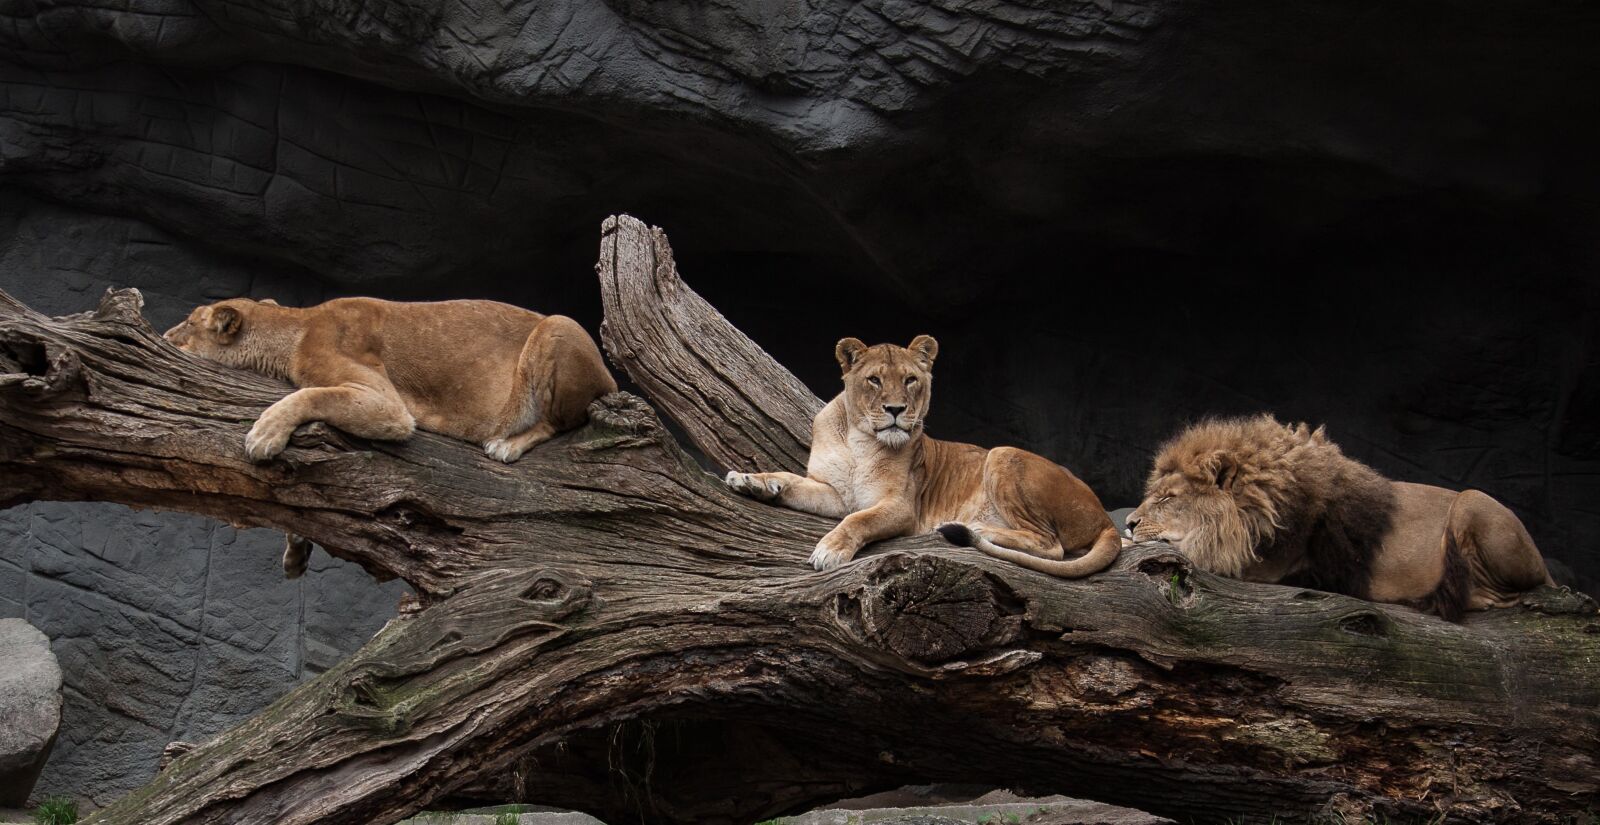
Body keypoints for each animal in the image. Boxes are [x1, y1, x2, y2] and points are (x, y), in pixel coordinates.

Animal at [164, 296, 616, 576]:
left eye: (189, 321)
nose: (166, 335)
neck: (294, 327)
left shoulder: (387, 405)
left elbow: (311, 394)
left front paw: (264, 435)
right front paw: (296, 550)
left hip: (558, 327)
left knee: (561, 422)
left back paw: (506, 443)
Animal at [725, 335, 1121, 576]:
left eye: (910, 379)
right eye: (874, 380)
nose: (896, 409)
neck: (859, 441)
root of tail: (1105, 516)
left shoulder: (901, 506)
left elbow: (858, 521)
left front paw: (830, 550)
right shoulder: (836, 494)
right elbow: (791, 480)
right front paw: (750, 481)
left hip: (1002, 453)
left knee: (1052, 546)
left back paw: (977, 527)